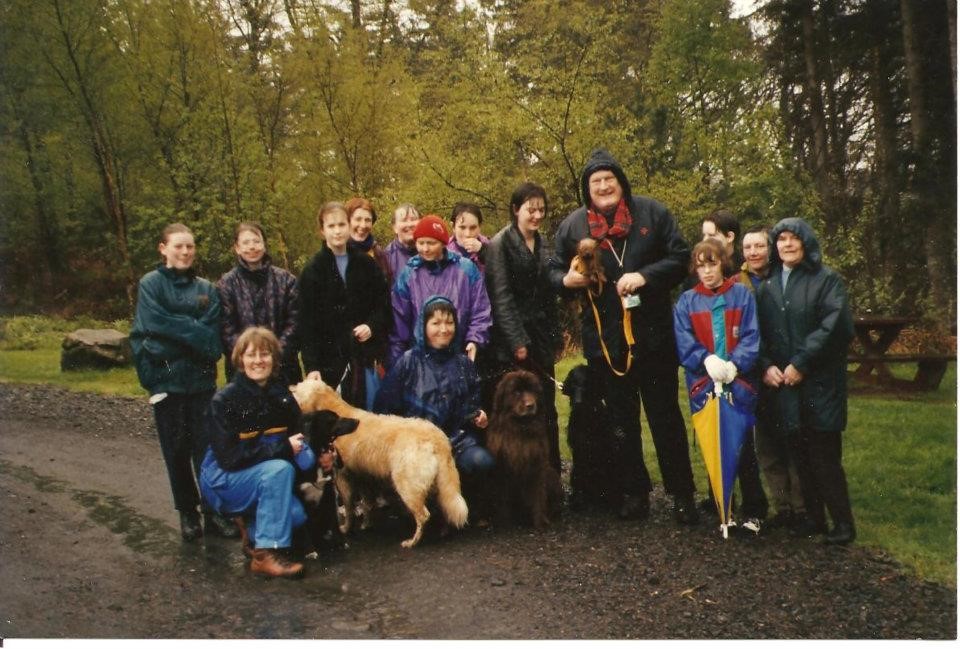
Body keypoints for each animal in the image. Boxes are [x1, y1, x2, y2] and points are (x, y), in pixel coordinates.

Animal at [488, 370, 564, 528]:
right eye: (517, 392)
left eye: (532, 390)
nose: (530, 405)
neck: (520, 427)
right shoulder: (501, 467)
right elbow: (502, 496)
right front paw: (504, 522)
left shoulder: (537, 465)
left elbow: (538, 494)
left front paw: (540, 521)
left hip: (551, 474)